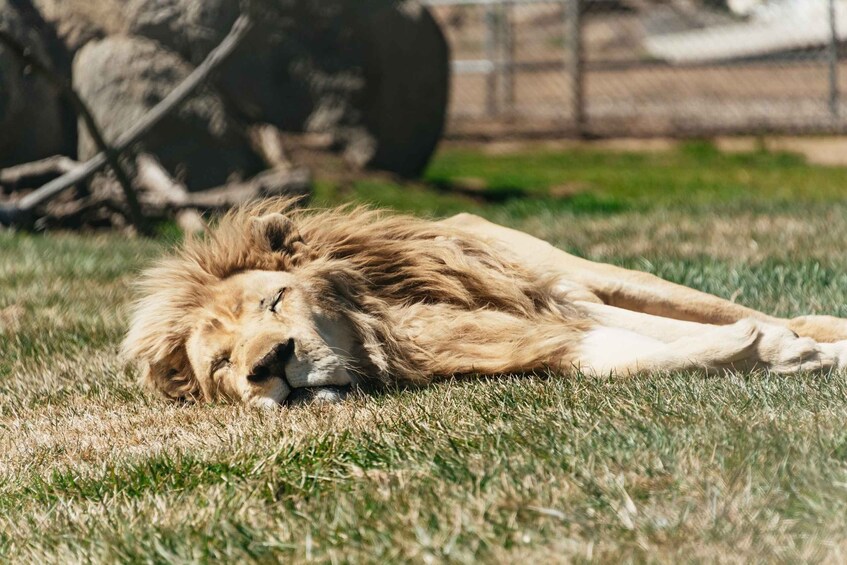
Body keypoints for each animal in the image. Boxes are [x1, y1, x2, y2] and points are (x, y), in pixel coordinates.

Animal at [121, 200, 847, 408]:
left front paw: (794, 348)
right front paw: (779, 353)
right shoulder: (481, 338)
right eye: (220, 364)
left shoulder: (557, 301)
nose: (271, 364)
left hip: (584, 273)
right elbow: (615, 357)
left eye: (275, 299)